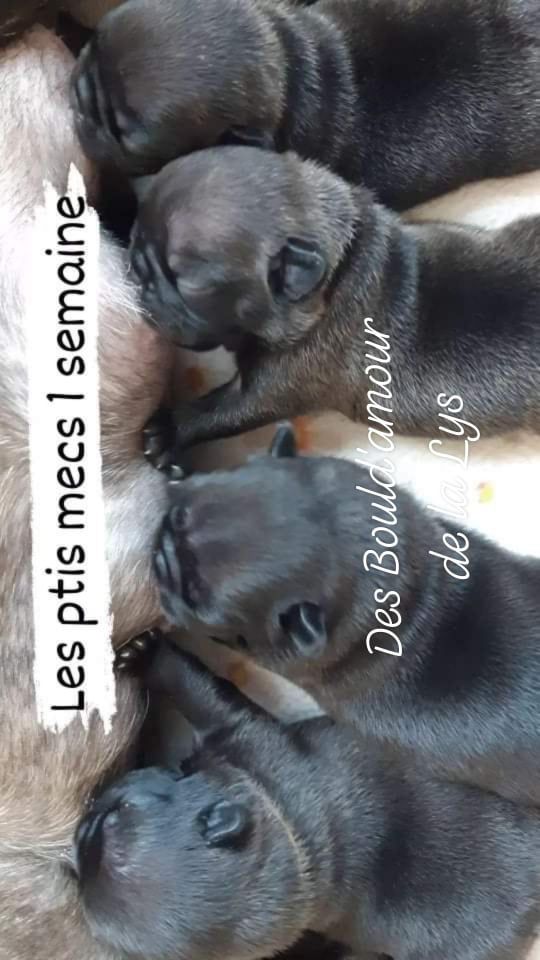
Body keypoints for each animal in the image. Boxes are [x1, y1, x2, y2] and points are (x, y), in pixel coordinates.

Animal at [74, 629, 540, 960]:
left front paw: (146, 653)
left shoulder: (249, 737)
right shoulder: (250, 741)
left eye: (119, 811)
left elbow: (197, 687)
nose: (82, 828)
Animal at [126, 145, 540, 457]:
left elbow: (219, 411)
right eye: (138, 227)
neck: (340, 270)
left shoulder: (276, 386)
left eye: (187, 283)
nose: (135, 263)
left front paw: (168, 431)